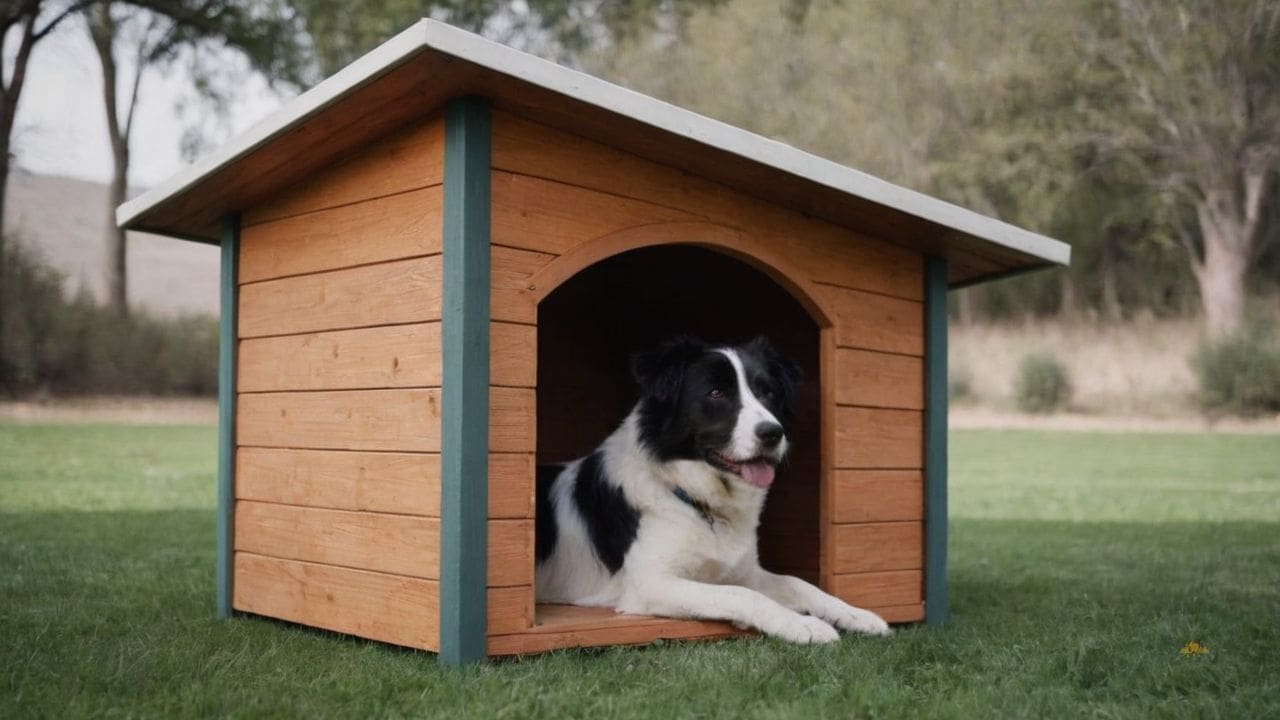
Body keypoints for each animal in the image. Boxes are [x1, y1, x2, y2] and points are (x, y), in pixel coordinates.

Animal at [532, 333, 890, 640]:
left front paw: (857, 614)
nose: (773, 433)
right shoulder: (651, 584)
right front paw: (802, 625)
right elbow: (741, 595)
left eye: (766, 392)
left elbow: (799, 583)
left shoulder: (745, 571)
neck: (697, 499)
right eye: (716, 392)